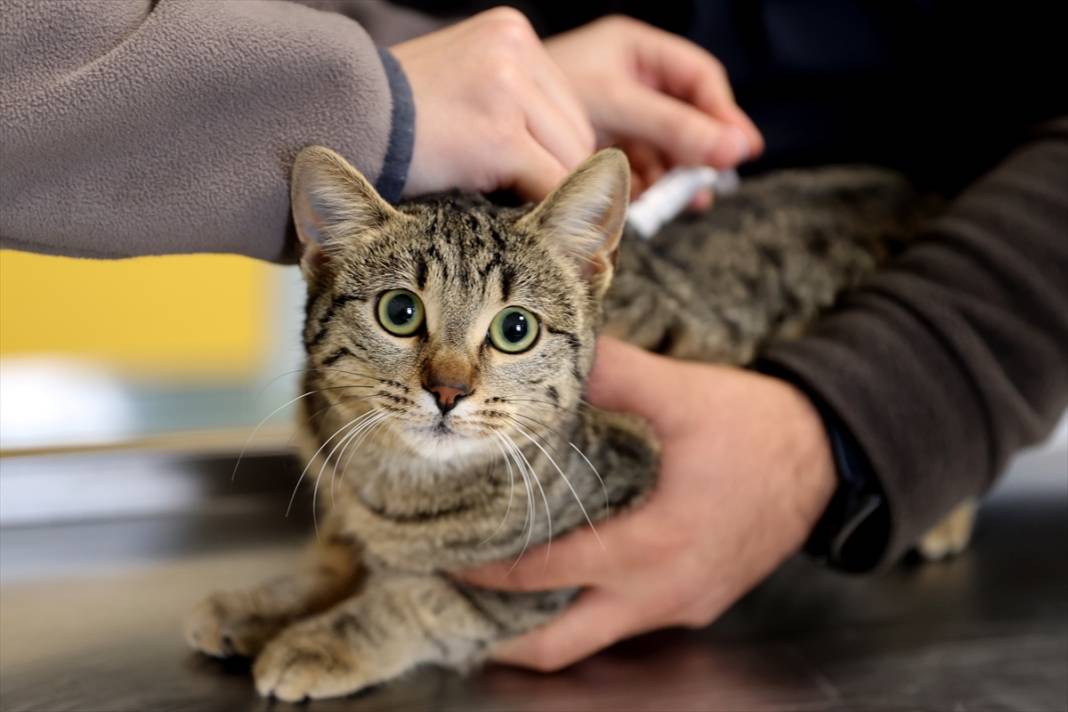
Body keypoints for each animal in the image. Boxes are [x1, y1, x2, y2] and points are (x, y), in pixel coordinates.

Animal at [183, 146, 969, 700]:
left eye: (516, 329)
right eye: (400, 312)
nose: (448, 390)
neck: (401, 484)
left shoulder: (558, 564)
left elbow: (424, 597)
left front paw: (323, 638)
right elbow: (338, 558)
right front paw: (261, 602)